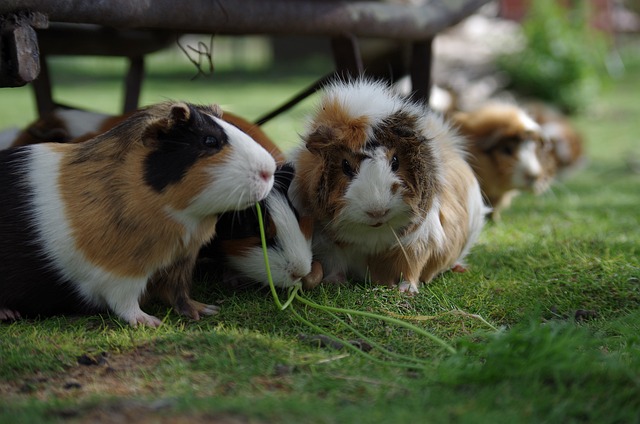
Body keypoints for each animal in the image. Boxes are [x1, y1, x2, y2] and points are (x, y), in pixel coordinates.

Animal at [0, 101, 276, 326]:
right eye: (209, 141)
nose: (269, 171)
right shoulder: (119, 272)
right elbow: (125, 302)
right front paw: (150, 322)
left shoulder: (180, 261)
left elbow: (179, 294)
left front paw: (205, 310)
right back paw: (8, 314)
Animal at [289, 78, 488, 293]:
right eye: (345, 165)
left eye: (395, 161)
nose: (377, 212)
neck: (373, 236)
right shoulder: (329, 246)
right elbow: (336, 266)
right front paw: (332, 283)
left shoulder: (418, 242)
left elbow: (410, 269)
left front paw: (406, 291)